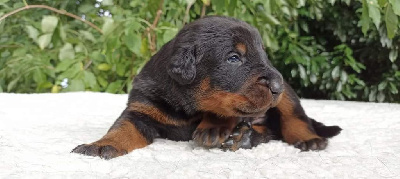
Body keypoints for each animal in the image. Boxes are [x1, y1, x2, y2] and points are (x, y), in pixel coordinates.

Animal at [72, 16, 340, 159]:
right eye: (234, 58)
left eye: (264, 56)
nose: (277, 84)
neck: (185, 107)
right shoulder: (141, 109)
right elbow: (123, 129)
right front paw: (100, 145)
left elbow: (222, 109)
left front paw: (214, 126)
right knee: (271, 131)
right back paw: (244, 137)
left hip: (289, 98)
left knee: (294, 118)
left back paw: (308, 140)